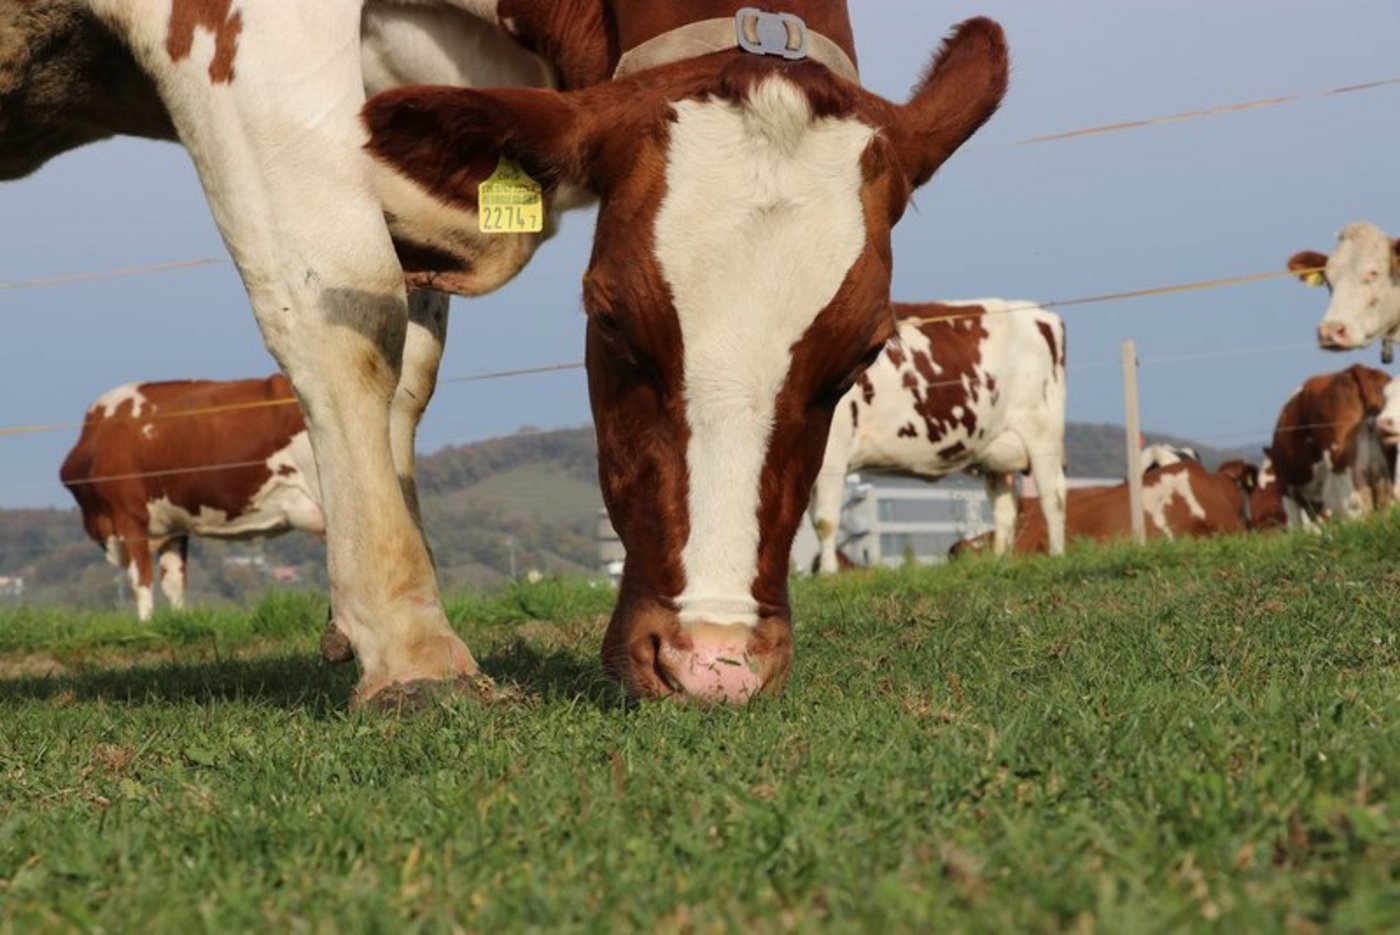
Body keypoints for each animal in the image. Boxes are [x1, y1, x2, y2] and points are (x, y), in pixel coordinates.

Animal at [59, 376, 323, 620]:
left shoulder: (128, 515)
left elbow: (140, 579)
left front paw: (144, 625)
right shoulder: (172, 525)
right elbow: (174, 582)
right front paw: (178, 623)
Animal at [809, 300, 1066, 571]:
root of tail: (1035, 310)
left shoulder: (833, 452)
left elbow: (825, 521)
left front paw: (828, 573)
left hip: (1042, 435)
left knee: (1053, 496)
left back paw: (1056, 555)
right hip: (998, 452)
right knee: (1005, 508)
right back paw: (999, 561)